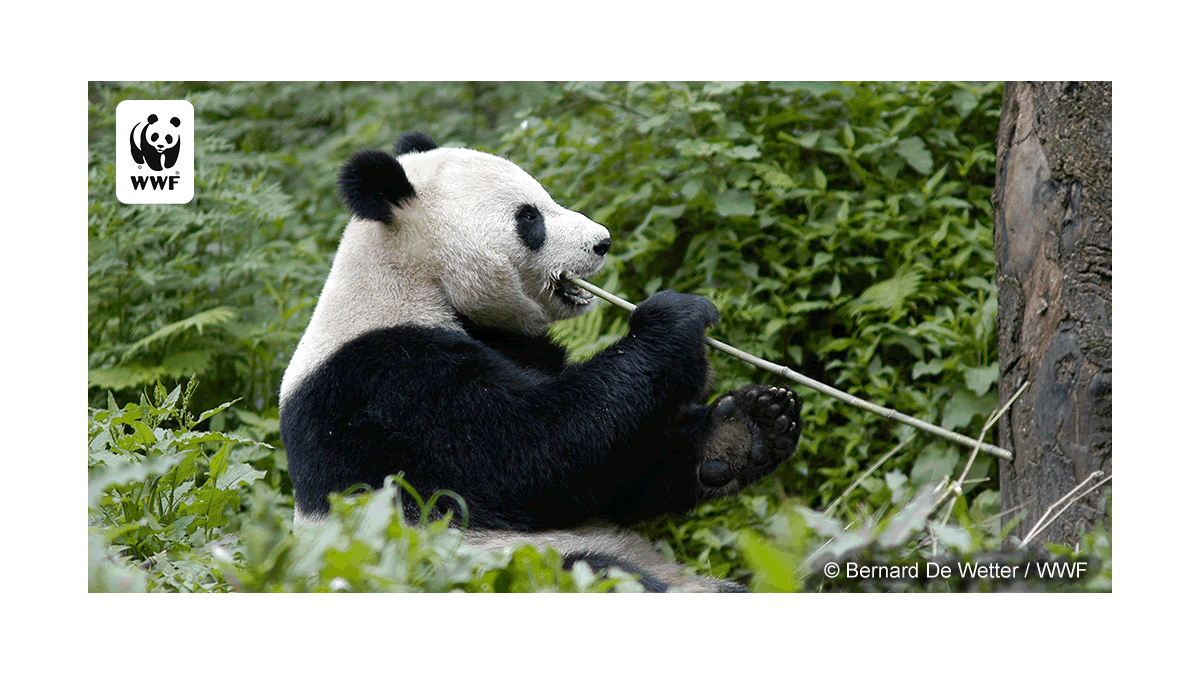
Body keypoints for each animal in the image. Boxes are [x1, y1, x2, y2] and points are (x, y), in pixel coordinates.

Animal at [278, 132, 802, 592]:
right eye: (529, 217)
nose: (602, 242)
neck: (413, 278)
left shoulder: (516, 343)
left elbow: (614, 473)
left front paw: (748, 426)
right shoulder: (384, 383)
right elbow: (530, 453)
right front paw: (675, 320)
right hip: (490, 565)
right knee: (594, 572)